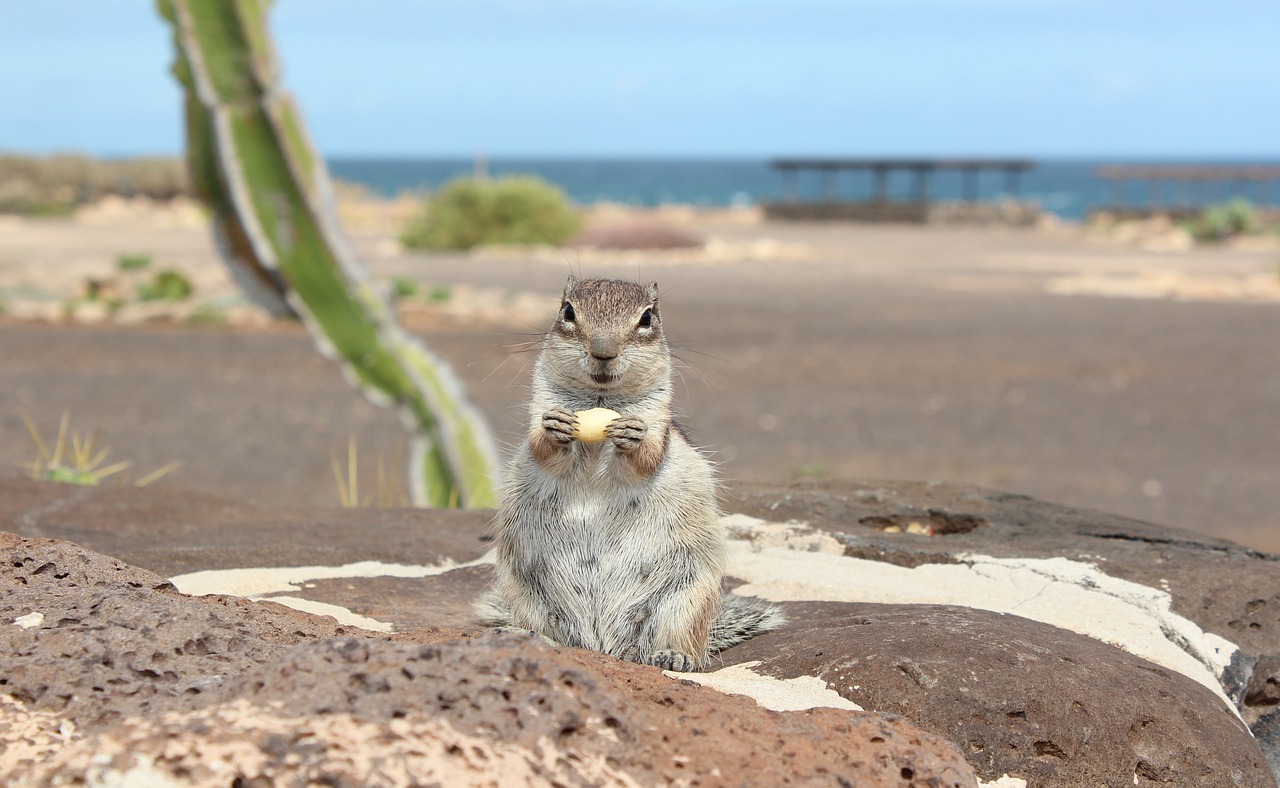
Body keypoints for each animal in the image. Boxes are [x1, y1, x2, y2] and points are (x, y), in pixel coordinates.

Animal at [478, 277, 783, 670]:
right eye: (568, 311)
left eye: (647, 318)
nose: (603, 352)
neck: (600, 400)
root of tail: (602, 644)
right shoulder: (541, 404)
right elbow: (543, 450)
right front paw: (555, 428)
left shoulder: (657, 419)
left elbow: (647, 458)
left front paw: (631, 436)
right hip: (521, 585)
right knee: (552, 631)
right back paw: (528, 635)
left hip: (686, 594)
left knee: (670, 638)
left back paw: (672, 655)